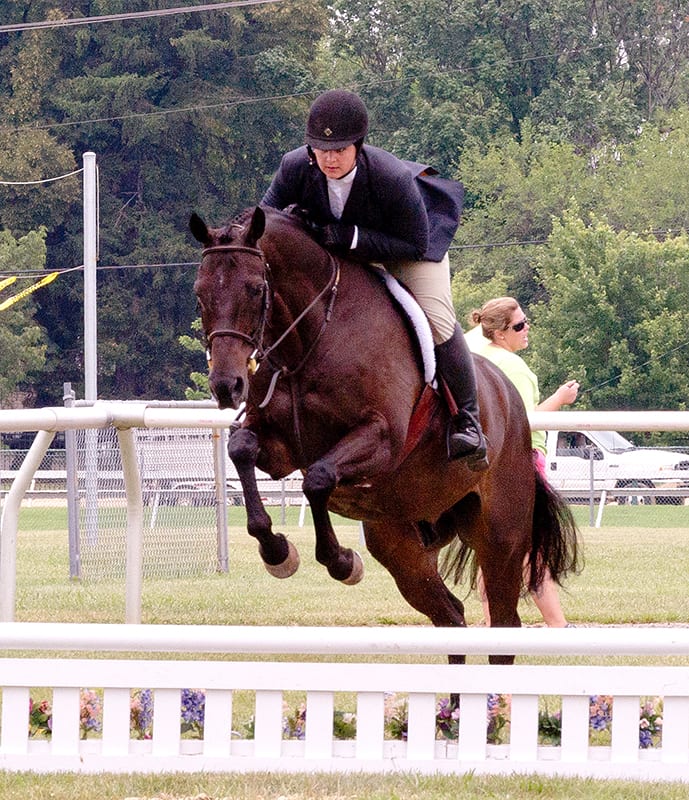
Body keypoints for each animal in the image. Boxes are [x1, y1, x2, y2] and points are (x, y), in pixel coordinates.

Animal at [189, 206, 580, 664]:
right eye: (199, 294)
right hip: (401, 541)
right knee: (451, 616)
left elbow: (317, 478)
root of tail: (513, 402)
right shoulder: (278, 447)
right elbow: (243, 448)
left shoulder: (382, 440)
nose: (226, 386)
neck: (311, 339)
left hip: (501, 536)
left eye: (254, 289)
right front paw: (277, 551)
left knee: (502, 627)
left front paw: (340, 561)